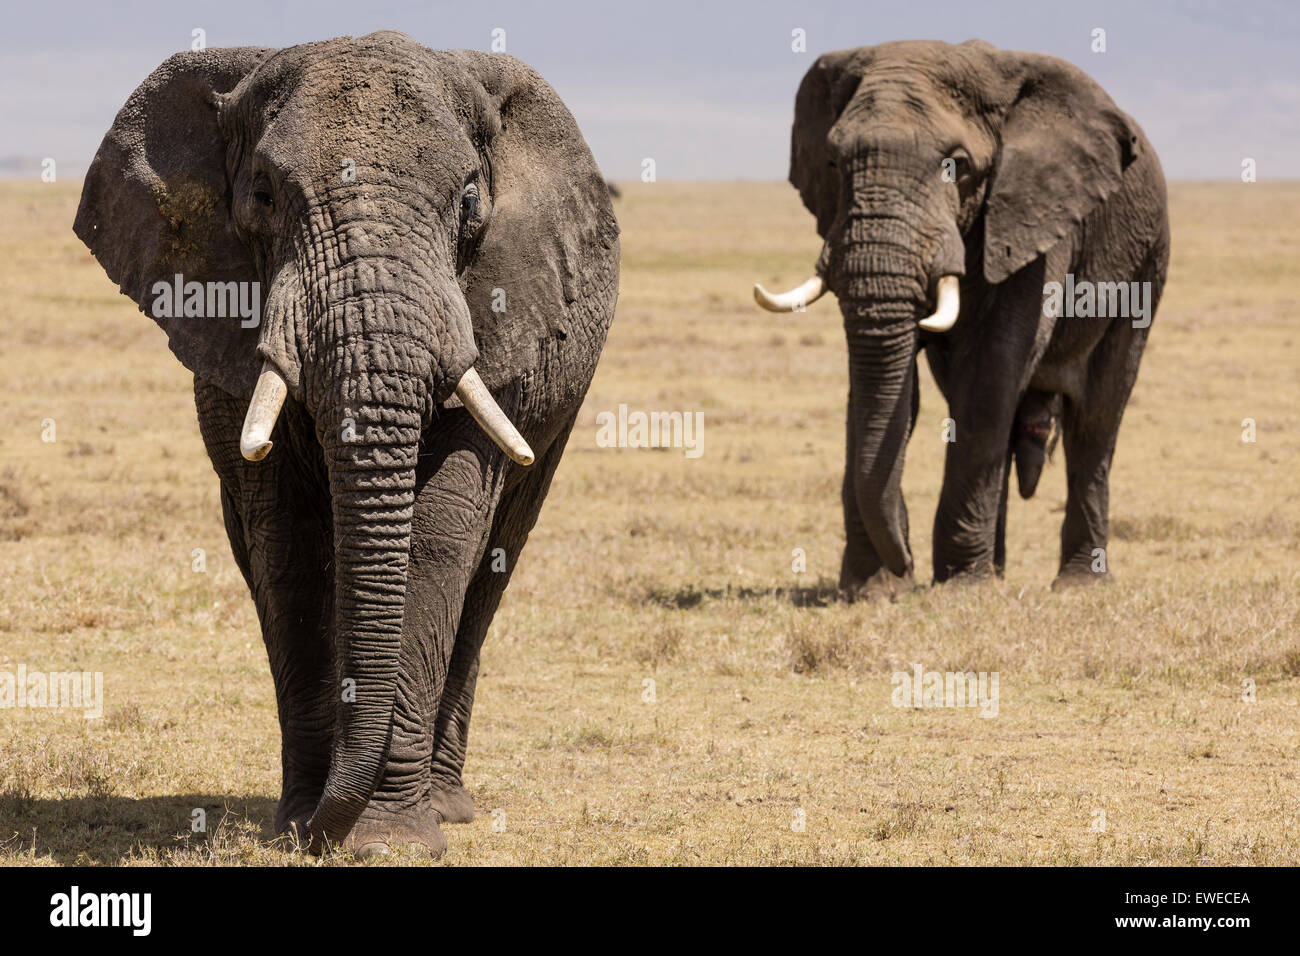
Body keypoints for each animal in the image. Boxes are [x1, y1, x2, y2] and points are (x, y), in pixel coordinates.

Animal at [73, 29, 621, 858]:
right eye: (263, 193)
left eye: (469, 200)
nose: (320, 834)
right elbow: (288, 541)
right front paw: (303, 823)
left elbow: (439, 535)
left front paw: (390, 839)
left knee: (494, 565)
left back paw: (446, 803)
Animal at [754, 42, 1170, 598]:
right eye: (834, 163)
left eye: (958, 166)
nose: (904, 563)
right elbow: (890, 388)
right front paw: (875, 590)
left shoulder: (1032, 216)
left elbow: (992, 371)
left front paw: (957, 587)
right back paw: (996, 571)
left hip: (1147, 262)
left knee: (1095, 422)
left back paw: (1077, 584)